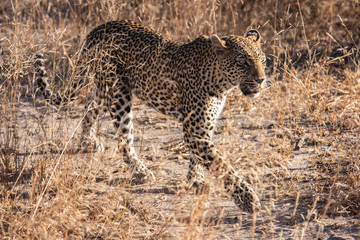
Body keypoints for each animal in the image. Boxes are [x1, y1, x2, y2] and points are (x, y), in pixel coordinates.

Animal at [35, 19, 268, 213]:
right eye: (242, 62)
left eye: (263, 60)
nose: (261, 80)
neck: (221, 83)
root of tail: (97, 28)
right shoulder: (195, 130)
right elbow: (223, 167)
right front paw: (248, 200)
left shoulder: (202, 127)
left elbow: (198, 158)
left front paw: (195, 181)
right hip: (119, 94)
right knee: (123, 140)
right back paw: (140, 172)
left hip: (104, 90)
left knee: (90, 108)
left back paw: (87, 141)